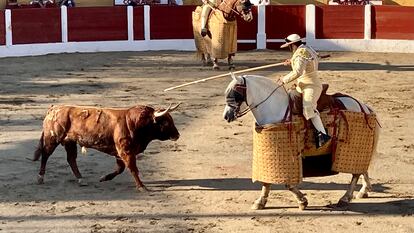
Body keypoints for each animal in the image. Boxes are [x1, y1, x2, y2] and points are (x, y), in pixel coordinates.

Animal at [33, 104, 180, 191]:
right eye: (166, 122)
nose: (177, 135)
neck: (133, 123)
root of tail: (54, 108)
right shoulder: (125, 151)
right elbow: (132, 168)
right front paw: (141, 186)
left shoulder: (121, 152)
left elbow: (120, 169)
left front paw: (104, 178)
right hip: (52, 138)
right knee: (46, 155)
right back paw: (40, 178)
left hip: (70, 141)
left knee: (71, 159)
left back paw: (81, 179)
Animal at [222, 74, 380, 209]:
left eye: (235, 93)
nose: (226, 116)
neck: (275, 108)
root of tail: (364, 107)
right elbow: (266, 181)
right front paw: (260, 202)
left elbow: (288, 184)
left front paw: (302, 201)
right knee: (362, 168)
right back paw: (364, 191)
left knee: (356, 173)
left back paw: (345, 198)